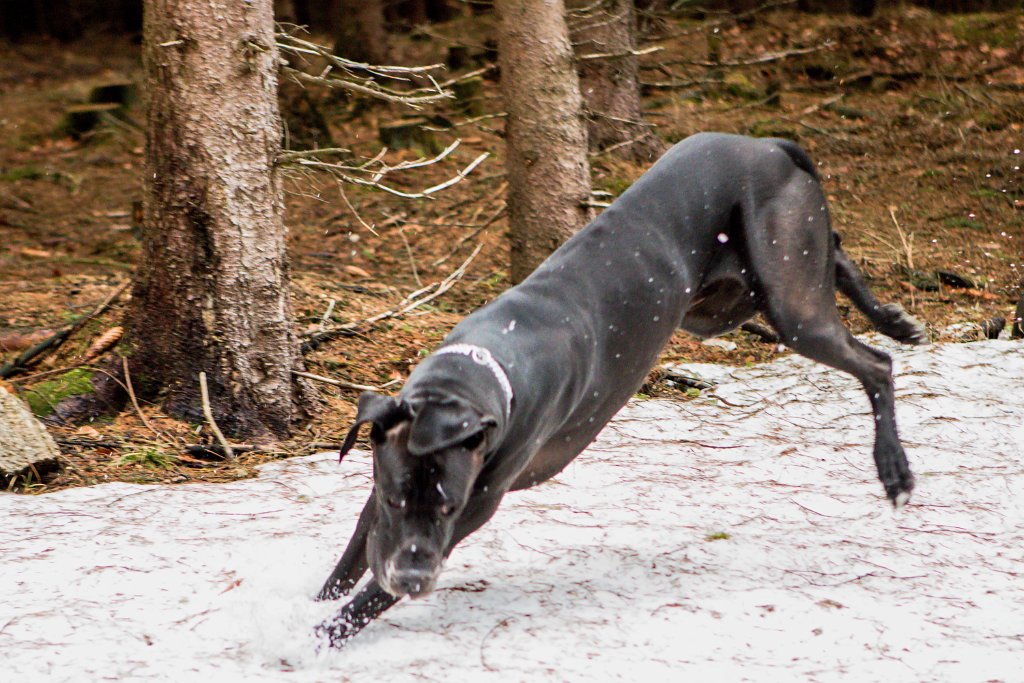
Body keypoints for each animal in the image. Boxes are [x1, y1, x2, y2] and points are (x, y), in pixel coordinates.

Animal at [313, 133, 929, 647]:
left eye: (449, 506)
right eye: (397, 499)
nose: (413, 577)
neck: (483, 366)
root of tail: (770, 145)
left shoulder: (479, 504)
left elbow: (369, 595)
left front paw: (322, 636)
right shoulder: (384, 478)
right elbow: (350, 561)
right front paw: (321, 601)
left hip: (787, 302)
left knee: (875, 365)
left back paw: (894, 468)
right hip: (722, 306)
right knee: (838, 255)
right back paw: (895, 319)